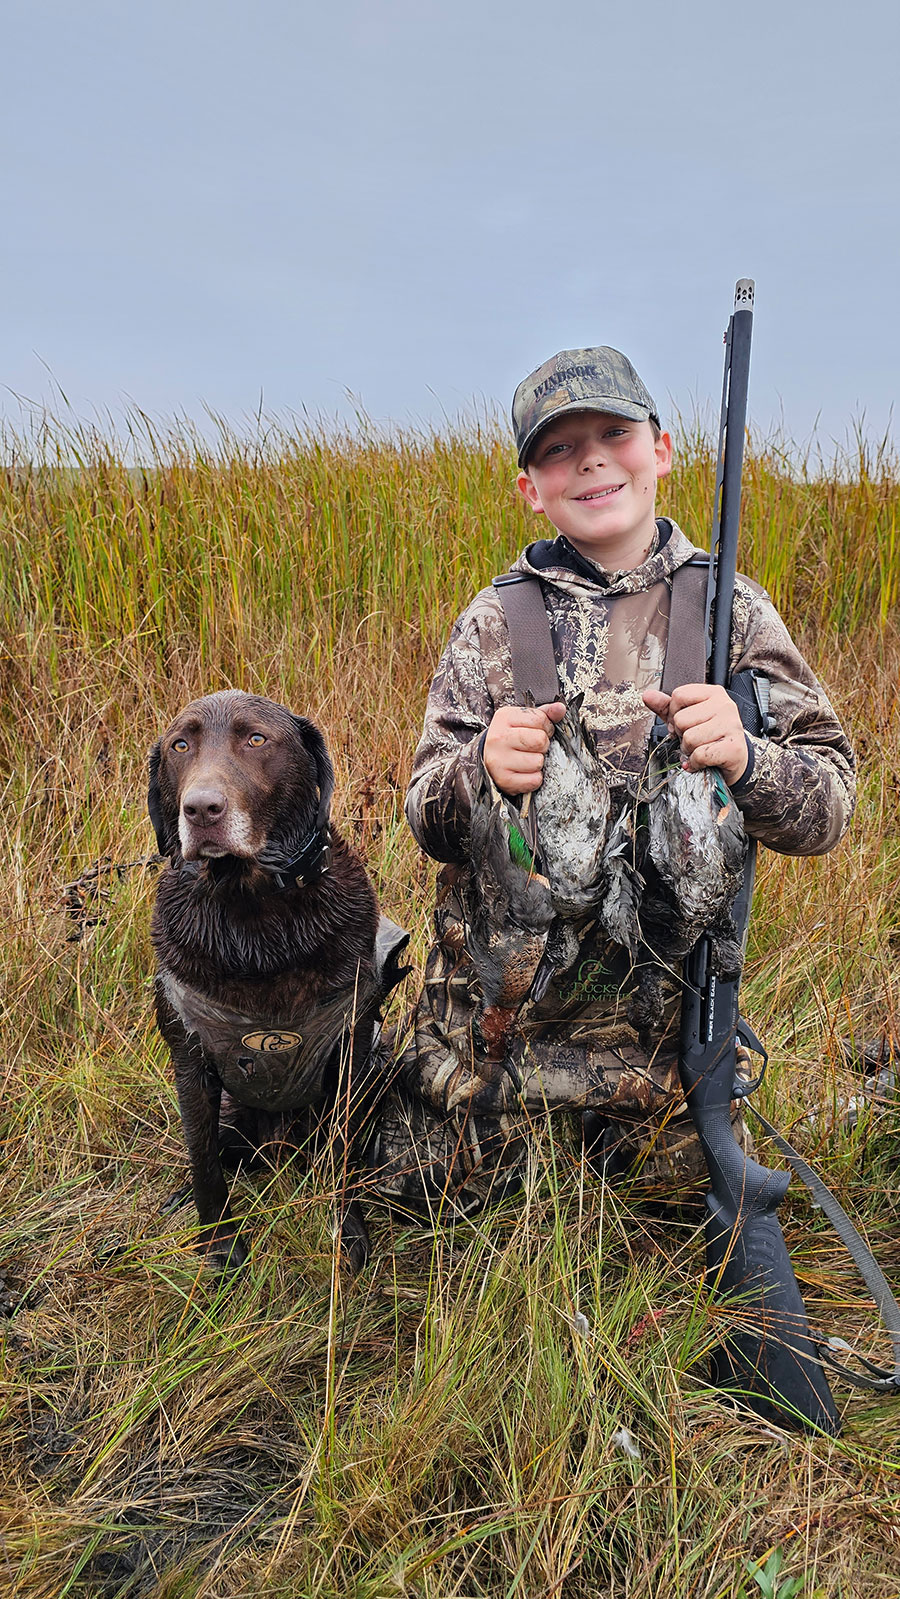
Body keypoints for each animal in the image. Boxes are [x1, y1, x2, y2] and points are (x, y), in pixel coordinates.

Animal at [148, 687, 398, 1272]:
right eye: (179, 745)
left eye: (257, 739)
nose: (202, 809)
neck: (254, 917)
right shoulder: (189, 1059)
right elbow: (203, 1161)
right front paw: (218, 1243)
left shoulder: (351, 1052)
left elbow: (342, 1159)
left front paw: (348, 1230)